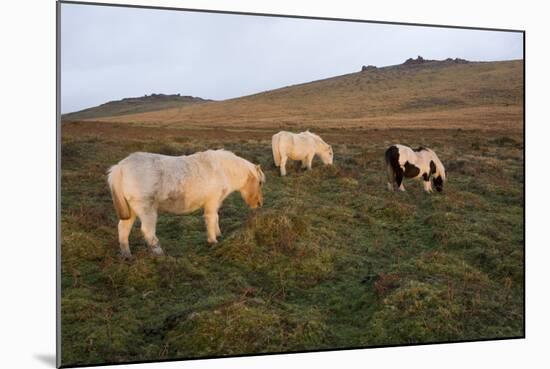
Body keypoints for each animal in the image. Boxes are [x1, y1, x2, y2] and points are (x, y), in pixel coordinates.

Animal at [107, 148, 268, 258]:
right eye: (260, 182)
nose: (259, 203)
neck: (224, 170)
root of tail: (120, 168)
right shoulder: (211, 202)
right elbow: (211, 219)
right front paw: (213, 241)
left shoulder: (215, 203)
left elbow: (216, 218)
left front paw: (218, 234)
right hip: (147, 210)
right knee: (148, 232)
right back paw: (160, 254)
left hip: (131, 211)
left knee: (123, 229)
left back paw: (127, 255)